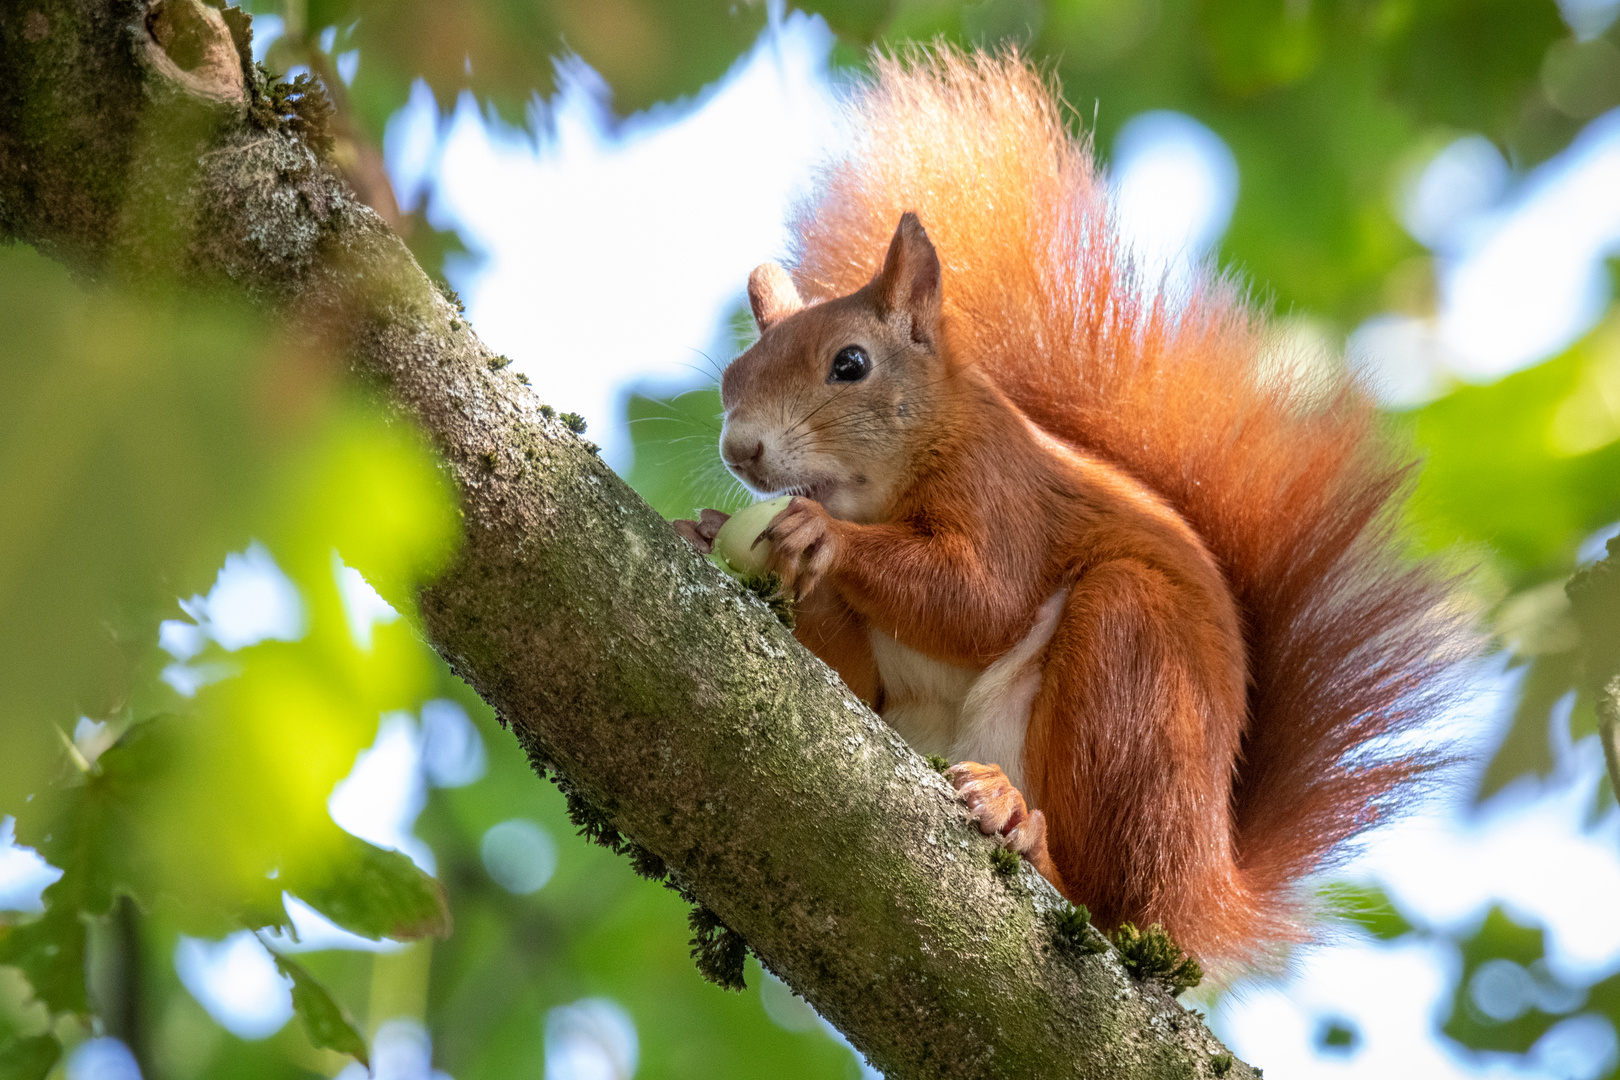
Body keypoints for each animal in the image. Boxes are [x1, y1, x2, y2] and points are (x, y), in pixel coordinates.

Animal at [670, 48, 1470, 971]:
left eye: (851, 364)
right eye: (732, 377)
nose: (742, 451)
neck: (888, 486)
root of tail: (1203, 888)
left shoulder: (1002, 489)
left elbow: (982, 602)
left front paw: (819, 534)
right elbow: (846, 682)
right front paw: (706, 532)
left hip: (1137, 680)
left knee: (1101, 891)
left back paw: (1024, 826)